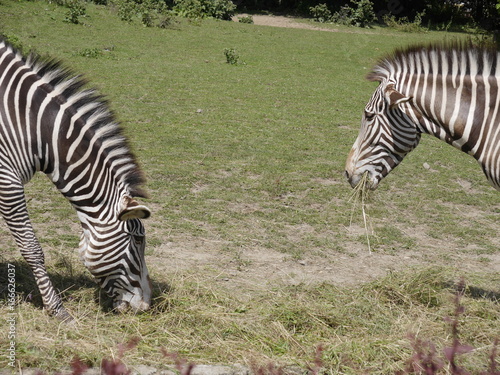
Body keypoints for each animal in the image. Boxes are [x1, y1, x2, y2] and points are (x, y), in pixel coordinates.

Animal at [0, 38, 151, 322]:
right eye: (138, 240)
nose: (146, 306)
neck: (32, 127)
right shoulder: (7, 180)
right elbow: (32, 248)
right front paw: (57, 309)